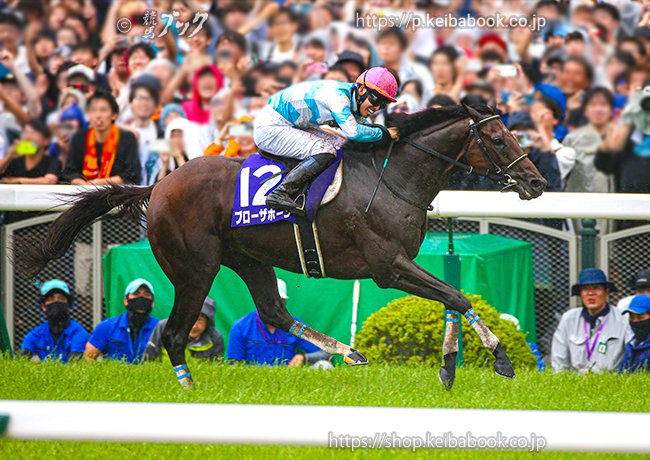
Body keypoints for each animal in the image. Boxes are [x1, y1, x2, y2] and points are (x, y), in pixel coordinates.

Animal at [14, 103, 546, 390]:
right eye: (498, 137)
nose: (537, 182)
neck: (393, 176)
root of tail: (158, 184)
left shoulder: (400, 265)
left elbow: (453, 297)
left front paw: (449, 368)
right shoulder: (387, 266)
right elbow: (456, 295)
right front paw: (499, 359)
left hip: (248, 260)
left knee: (272, 311)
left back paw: (348, 353)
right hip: (195, 269)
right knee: (174, 334)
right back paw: (189, 390)